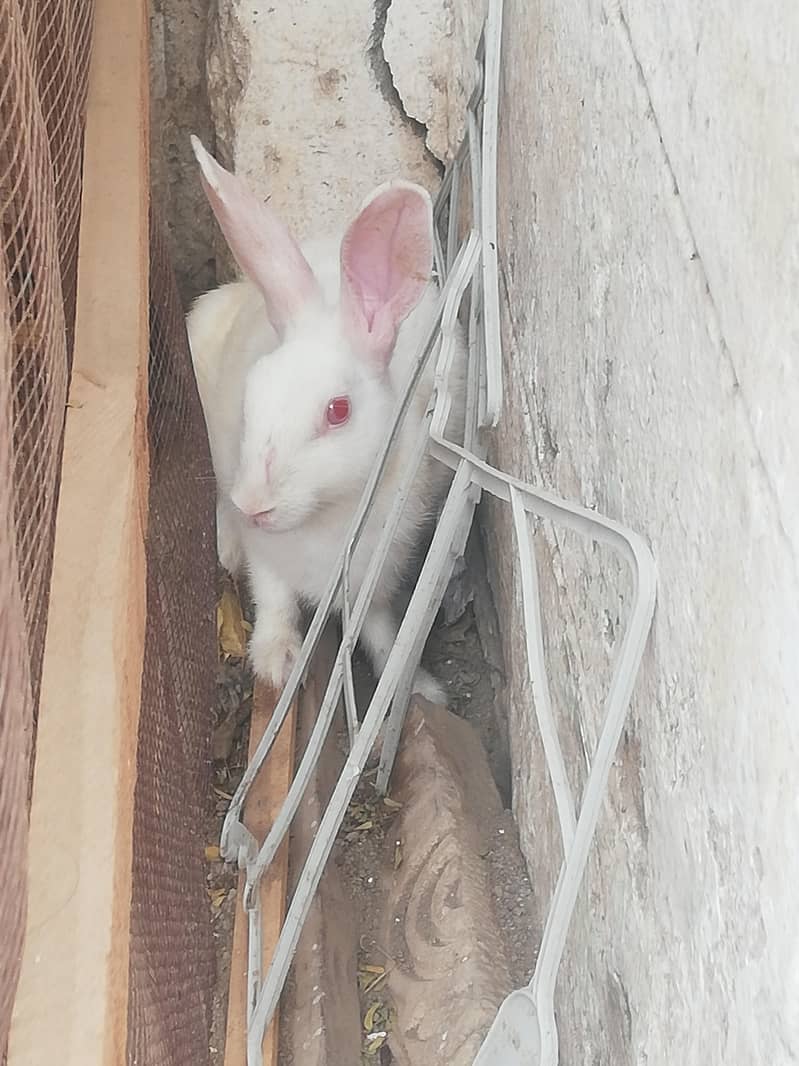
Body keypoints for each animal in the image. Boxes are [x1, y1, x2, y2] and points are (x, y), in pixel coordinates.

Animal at [186, 136, 465, 705]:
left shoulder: (381, 573)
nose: (256, 505)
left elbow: (378, 629)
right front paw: (278, 661)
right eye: (252, 394)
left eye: (338, 411)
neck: (327, 514)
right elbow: (273, 599)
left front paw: (418, 689)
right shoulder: (269, 558)